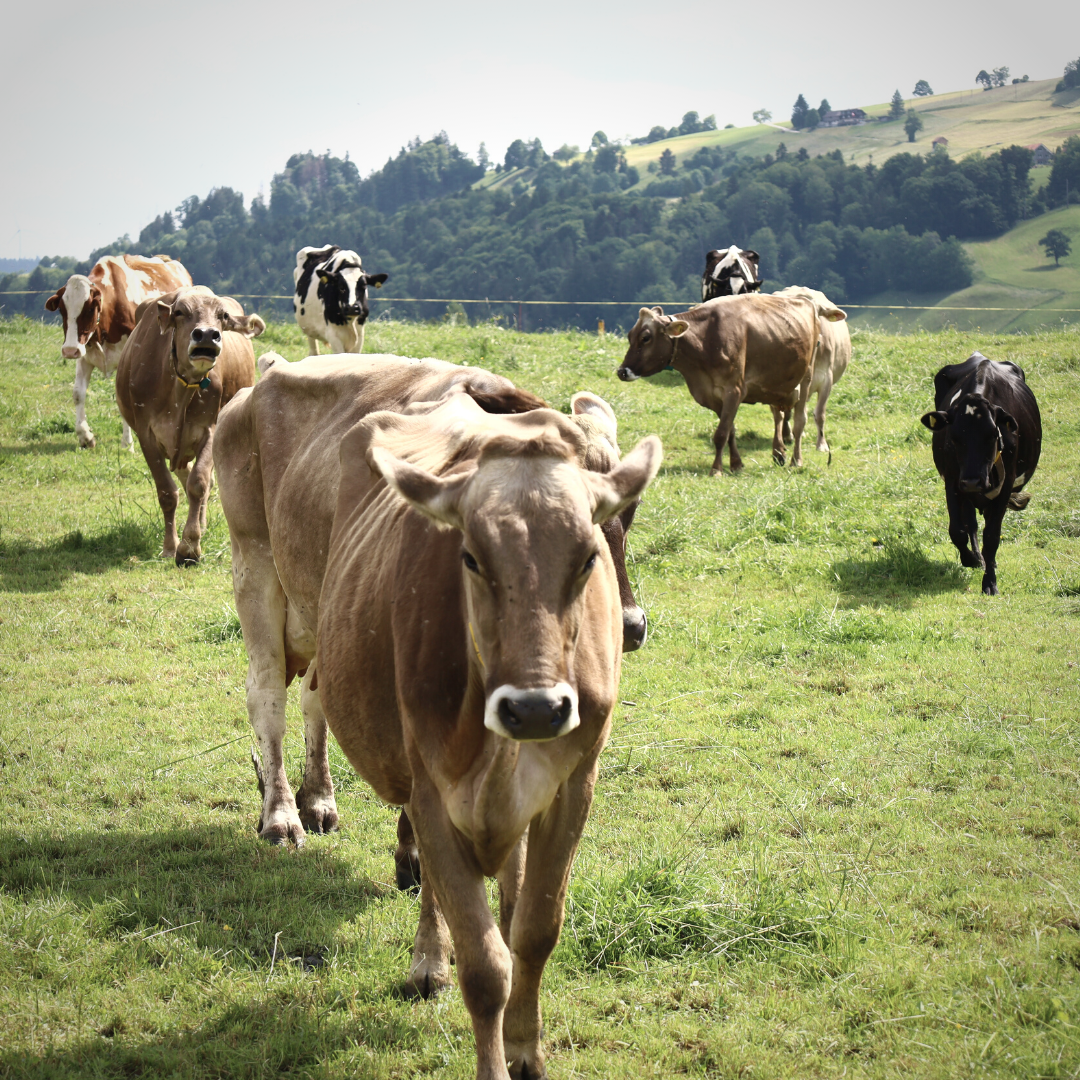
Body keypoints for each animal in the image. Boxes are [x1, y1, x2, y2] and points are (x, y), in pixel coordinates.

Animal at [43, 254, 191, 449]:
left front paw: (127, 442)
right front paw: (85, 436)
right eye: (62, 309)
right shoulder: (84, 355)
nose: (69, 350)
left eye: (89, 308)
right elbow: (78, 393)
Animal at [115, 287, 263, 570]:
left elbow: (199, 483)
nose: (206, 334)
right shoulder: (146, 434)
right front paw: (169, 546)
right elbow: (167, 492)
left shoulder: (210, 429)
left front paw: (190, 545)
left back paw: (201, 525)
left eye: (222, 315)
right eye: (180, 312)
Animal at [211, 349, 648, 855]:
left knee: (313, 698)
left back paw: (318, 798)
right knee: (267, 696)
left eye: (629, 507)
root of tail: (268, 372)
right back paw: (281, 814)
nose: (632, 626)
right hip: (254, 565)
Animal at [617, 291, 842, 473]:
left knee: (799, 421)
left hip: (806, 377)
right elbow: (730, 431)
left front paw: (716, 469)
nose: (622, 371)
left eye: (646, 337)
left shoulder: (734, 390)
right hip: (778, 385)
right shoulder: (713, 395)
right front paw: (736, 464)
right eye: (629, 335)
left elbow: (721, 433)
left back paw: (796, 460)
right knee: (779, 417)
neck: (705, 339)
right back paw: (778, 452)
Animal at [920, 349, 1036, 596]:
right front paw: (972, 560)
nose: (973, 481)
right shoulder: (953, 481)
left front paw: (990, 582)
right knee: (970, 523)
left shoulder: (1005, 485)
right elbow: (957, 530)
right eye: (954, 437)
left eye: (993, 434)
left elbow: (991, 535)